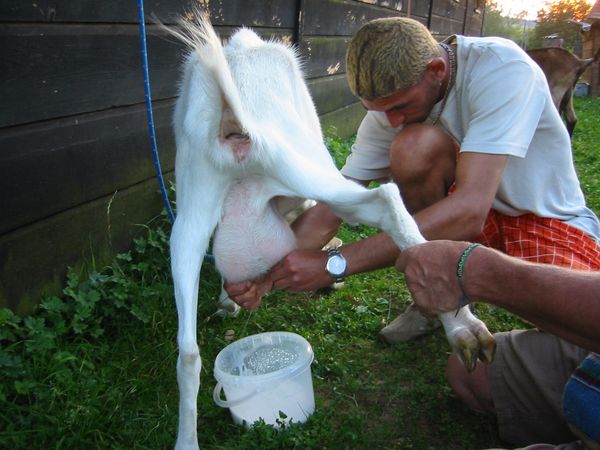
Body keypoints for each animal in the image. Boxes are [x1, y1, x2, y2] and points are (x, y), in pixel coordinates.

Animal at [161, 12, 495, 449]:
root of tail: (234, 127)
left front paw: (229, 300)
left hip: (192, 209)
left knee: (187, 350)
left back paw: (186, 439)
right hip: (303, 163)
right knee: (385, 200)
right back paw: (464, 329)